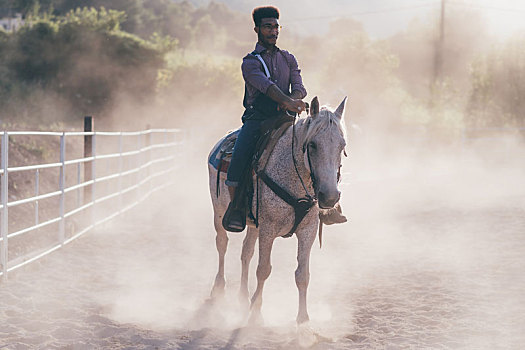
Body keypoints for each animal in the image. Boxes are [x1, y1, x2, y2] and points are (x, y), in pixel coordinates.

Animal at [207, 96, 346, 326]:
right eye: (313, 145)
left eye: (342, 145)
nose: (329, 196)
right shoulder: (268, 230)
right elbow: (264, 269)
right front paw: (256, 313)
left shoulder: (307, 230)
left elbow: (302, 274)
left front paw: (303, 319)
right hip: (218, 211)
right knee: (222, 244)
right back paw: (218, 289)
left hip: (253, 224)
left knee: (246, 252)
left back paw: (243, 297)